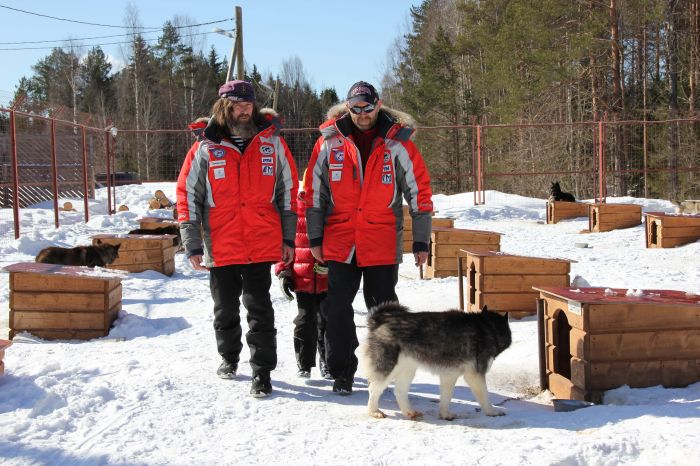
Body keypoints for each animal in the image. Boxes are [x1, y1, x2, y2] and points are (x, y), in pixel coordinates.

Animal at [364, 304, 512, 420]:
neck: (487, 326)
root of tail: (380, 321)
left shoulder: (449, 375)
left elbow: (446, 398)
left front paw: (445, 414)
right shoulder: (475, 375)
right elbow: (485, 396)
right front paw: (492, 412)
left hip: (407, 370)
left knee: (399, 391)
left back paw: (410, 412)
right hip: (387, 368)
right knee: (373, 389)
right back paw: (374, 412)